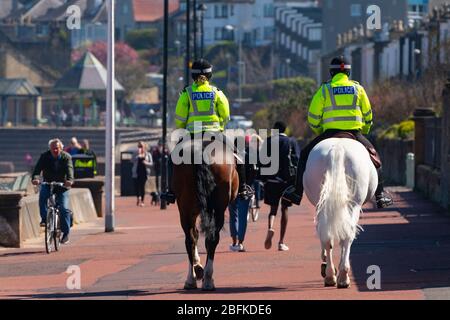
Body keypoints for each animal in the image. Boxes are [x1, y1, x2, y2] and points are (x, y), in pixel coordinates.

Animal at [173, 138, 239, 290]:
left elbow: (195, 235)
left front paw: (197, 266)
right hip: (218, 208)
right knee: (211, 238)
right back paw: (207, 279)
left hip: (185, 207)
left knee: (190, 239)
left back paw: (191, 279)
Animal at [304, 138, 378, 288]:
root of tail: (337, 148)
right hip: (354, 205)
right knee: (347, 236)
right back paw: (342, 276)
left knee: (327, 236)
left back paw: (330, 274)